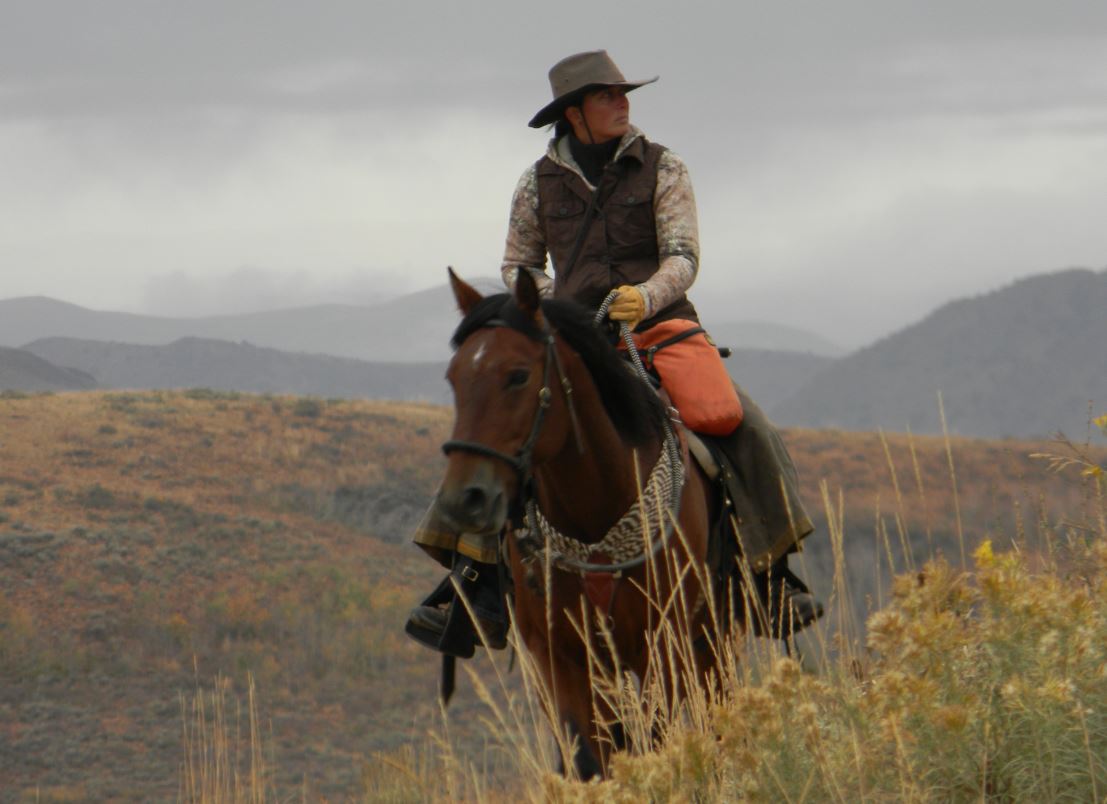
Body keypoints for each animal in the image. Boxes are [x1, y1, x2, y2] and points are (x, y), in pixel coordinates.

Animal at [433, 271, 735, 779]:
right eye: (454, 379)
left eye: (518, 375)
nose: (465, 499)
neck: (595, 518)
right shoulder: (556, 657)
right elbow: (589, 758)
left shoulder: (664, 644)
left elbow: (656, 741)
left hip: (714, 634)